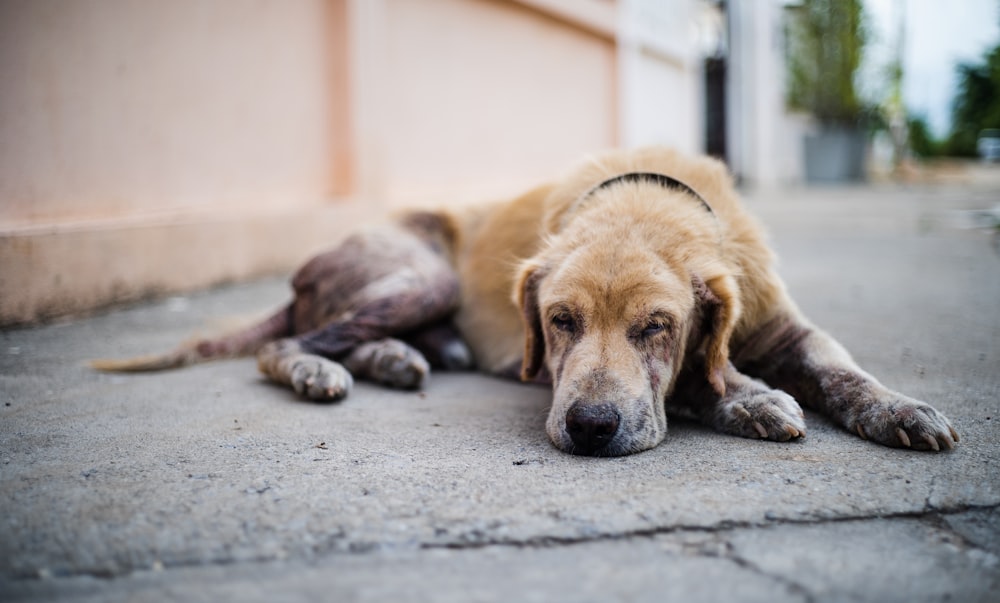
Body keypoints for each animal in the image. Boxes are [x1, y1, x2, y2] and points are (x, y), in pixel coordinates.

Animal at [95, 149, 960, 456]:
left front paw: (900, 408)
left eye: (657, 325)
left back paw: (401, 355)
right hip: (421, 273)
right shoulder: (548, 368)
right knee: (286, 345)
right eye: (559, 321)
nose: (591, 427)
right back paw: (324, 367)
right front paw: (748, 397)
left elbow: (842, 368)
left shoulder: (784, 323)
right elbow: (695, 382)